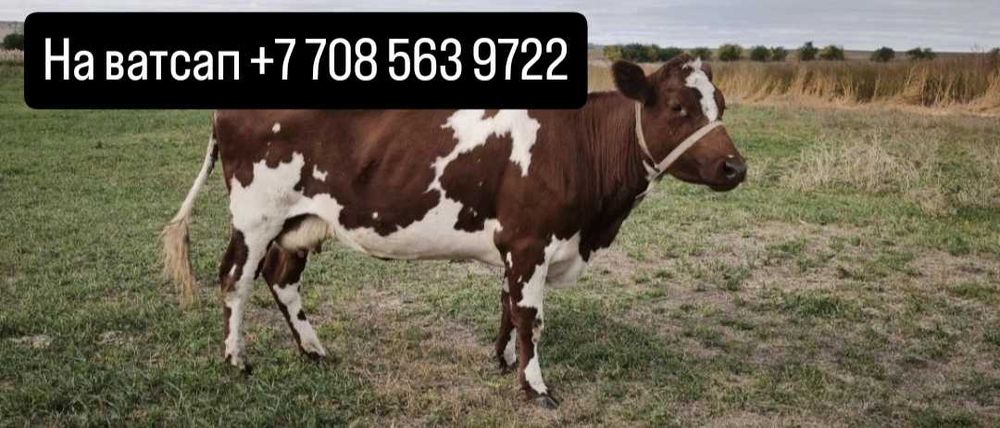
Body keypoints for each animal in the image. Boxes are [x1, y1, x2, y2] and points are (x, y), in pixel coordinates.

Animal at [160, 54, 746, 409]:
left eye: (721, 104)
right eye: (678, 106)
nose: (735, 167)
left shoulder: (517, 246)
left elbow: (509, 307)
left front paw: (503, 362)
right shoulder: (530, 242)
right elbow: (531, 316)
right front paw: (535, 386)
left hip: (301, 221)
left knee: (282, 279)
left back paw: (314, 350)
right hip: (256, 215)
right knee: (235, 278)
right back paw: (237, 359)